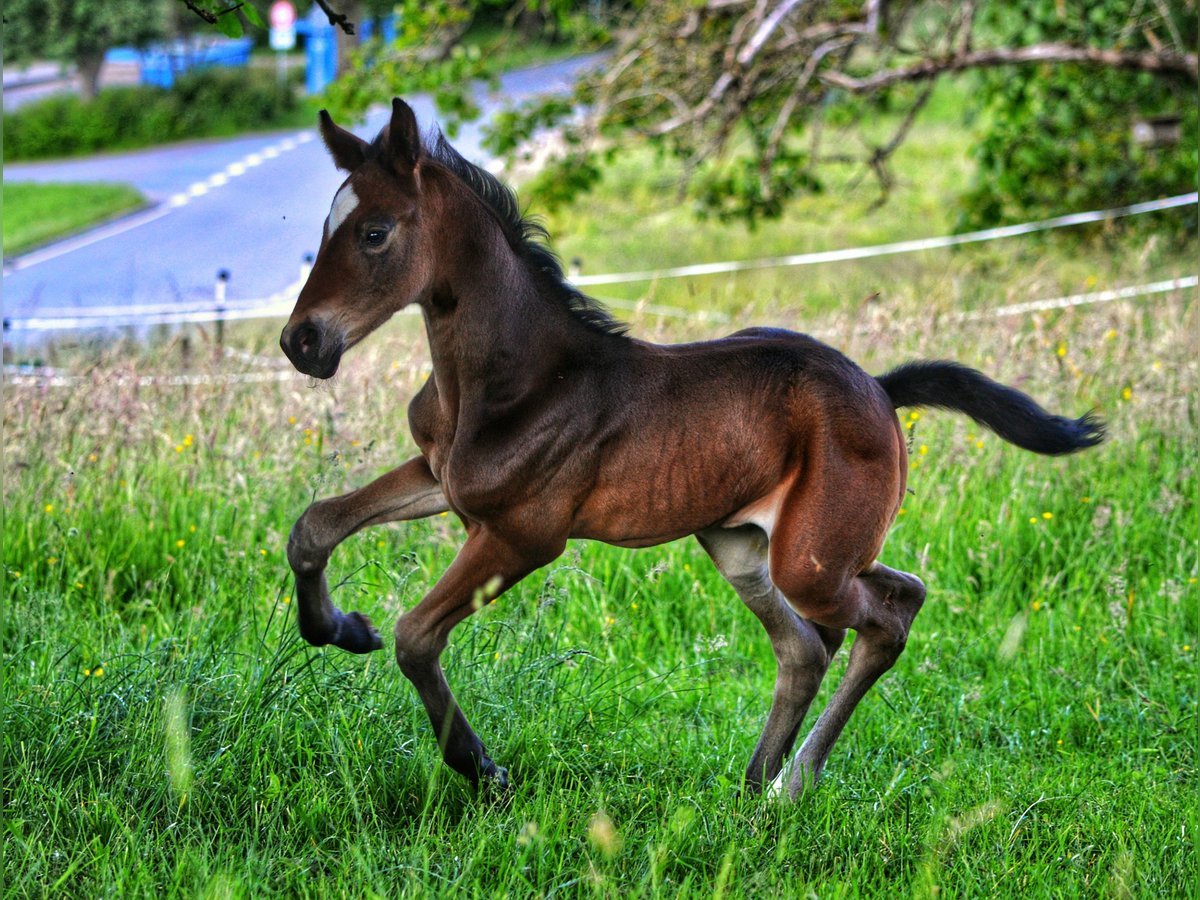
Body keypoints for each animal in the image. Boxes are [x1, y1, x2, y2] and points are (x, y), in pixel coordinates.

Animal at [276, 102, 1099, 801]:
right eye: (325, 227)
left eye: (375, 232)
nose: (301, 342)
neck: (514, 378)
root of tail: (878, 387)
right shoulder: (440, 478)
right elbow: (315, 525)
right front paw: (339, 630)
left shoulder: (522, 534)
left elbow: (416, 636)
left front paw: (482, 769)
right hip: (745, 545)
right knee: (816, 643)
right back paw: (758, 782)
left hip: (809, 560)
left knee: (886, 616)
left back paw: (793, 781)